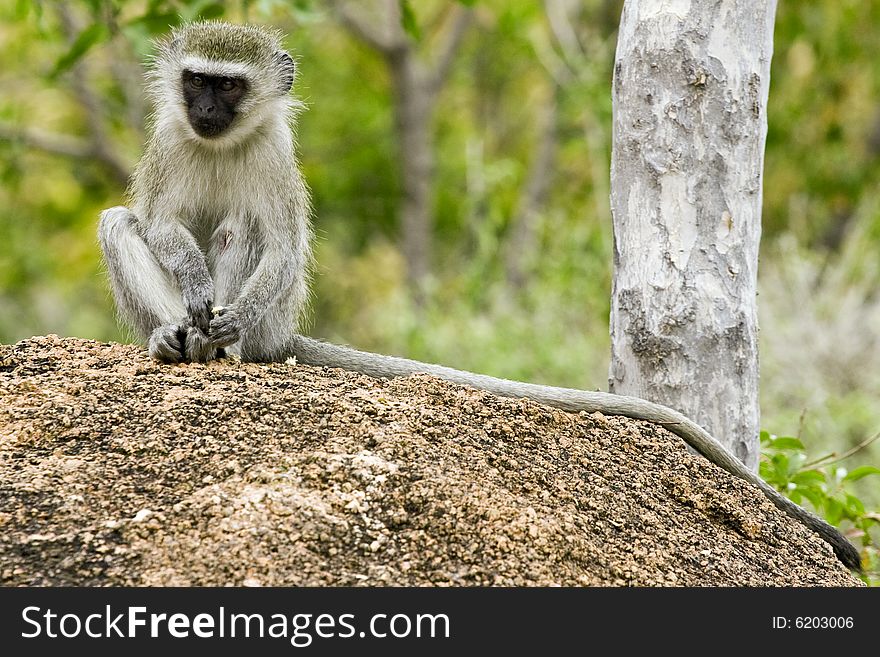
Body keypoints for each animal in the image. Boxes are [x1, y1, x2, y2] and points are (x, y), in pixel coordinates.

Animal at [98, 21, 860, 568]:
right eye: (196, 80)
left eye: (228, 89)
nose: (202, 107)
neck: (220, 144)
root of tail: (281, 338)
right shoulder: (168, 144)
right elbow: (160, 224)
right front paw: (192, 289)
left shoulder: (275, 161)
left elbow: (280, 246)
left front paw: (224, 318)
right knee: (118, 223)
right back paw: (174, 340)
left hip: (271, 323)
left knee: (239, 231)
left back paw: (224, 349)